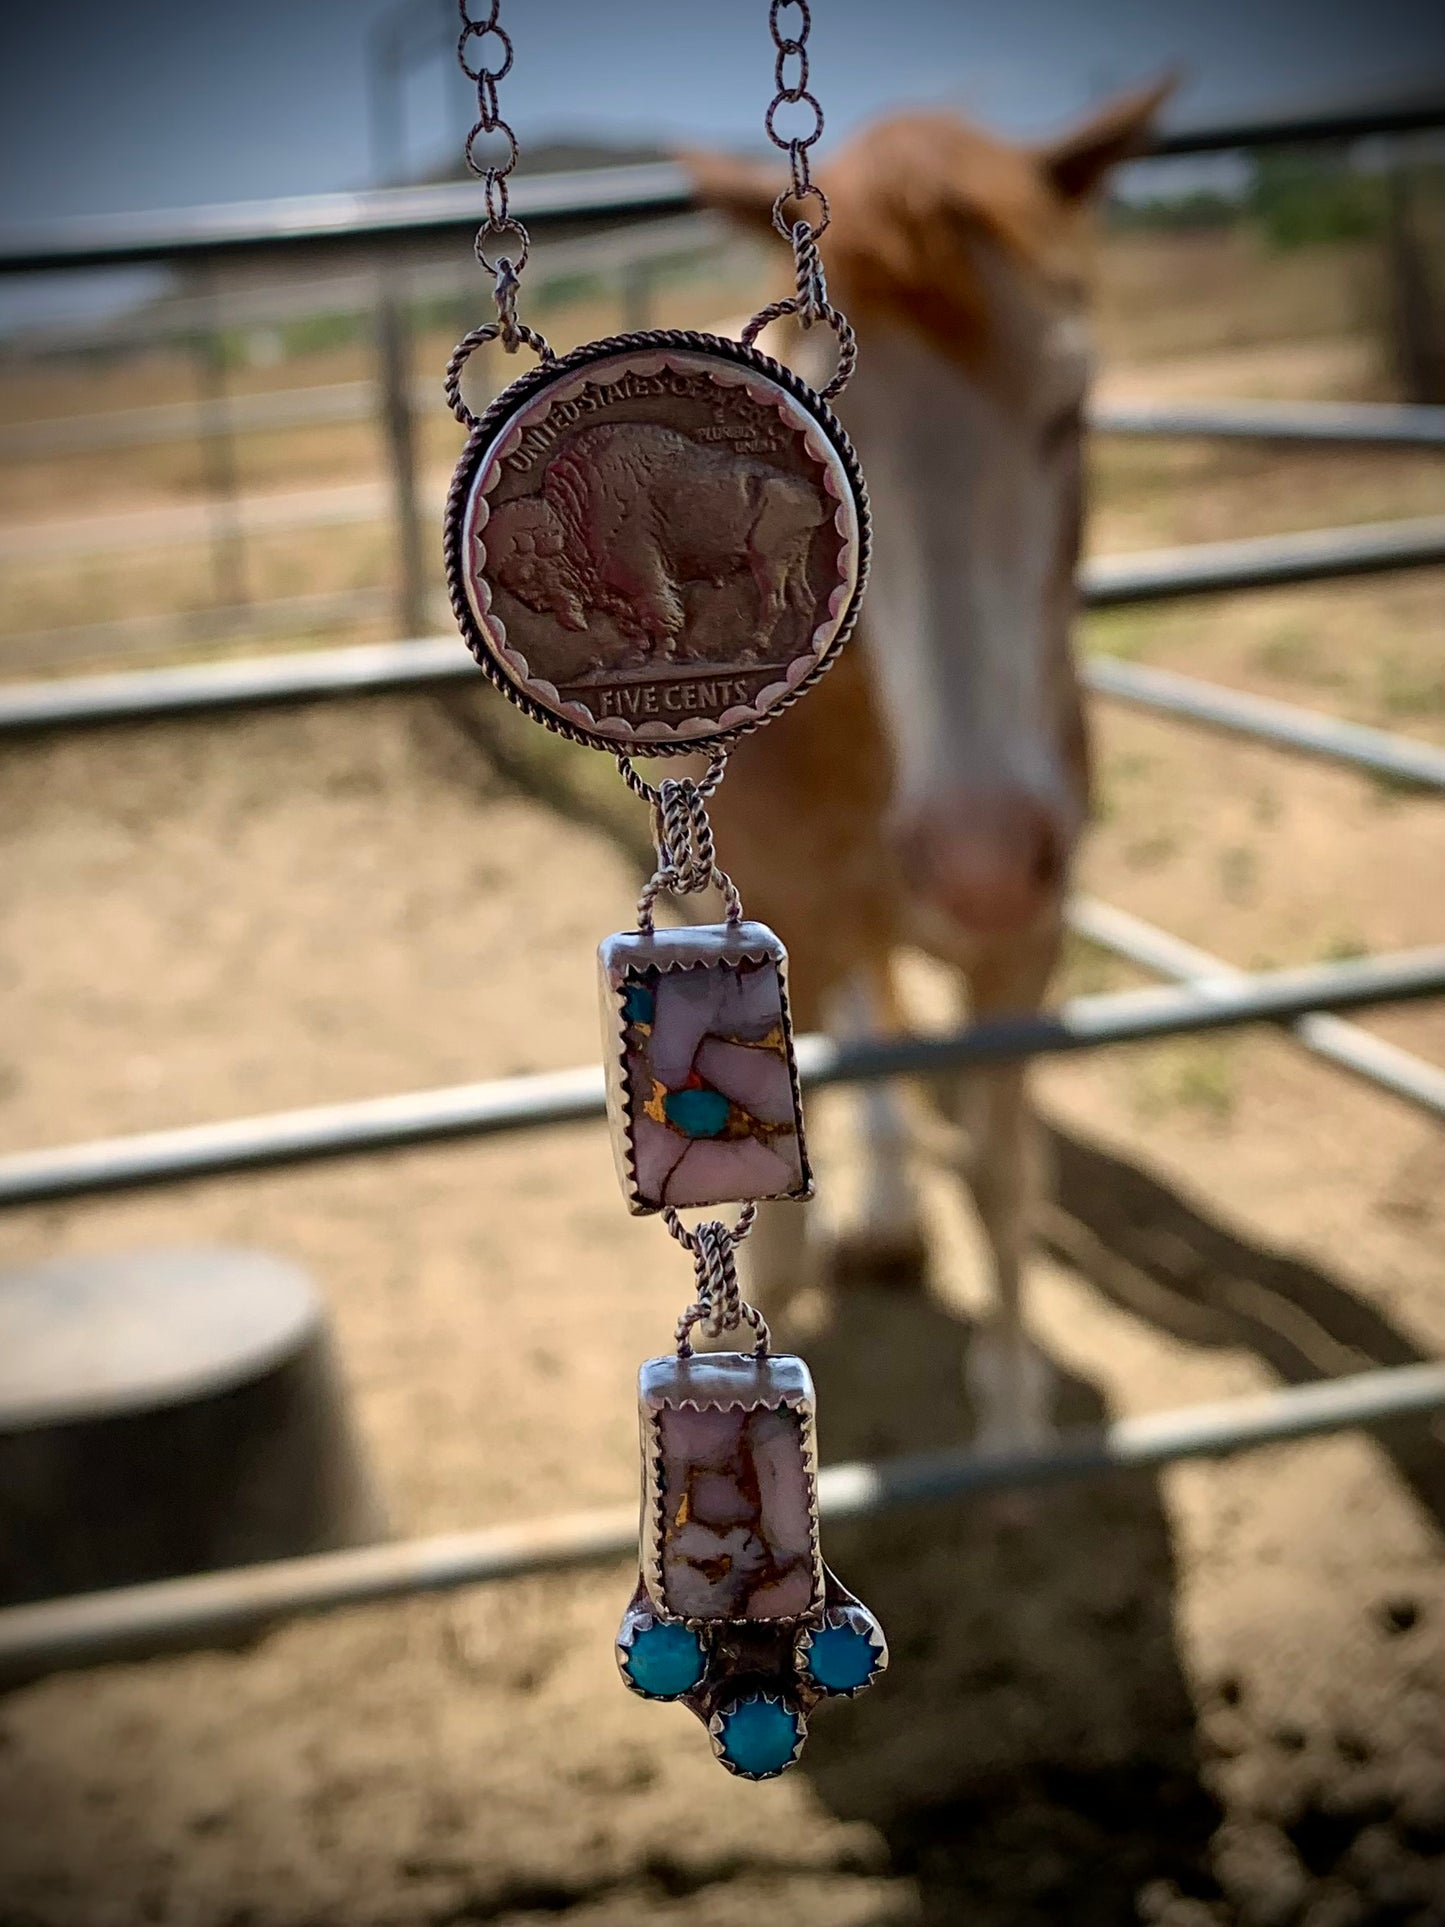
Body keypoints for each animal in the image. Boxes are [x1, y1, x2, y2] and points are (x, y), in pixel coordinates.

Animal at [685, 90, 1171, 1449]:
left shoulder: (1023, 946)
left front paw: (1009, 1419)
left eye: (1068, 408)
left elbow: (1004, 1174)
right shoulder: (793, 918)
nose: (979, 854)